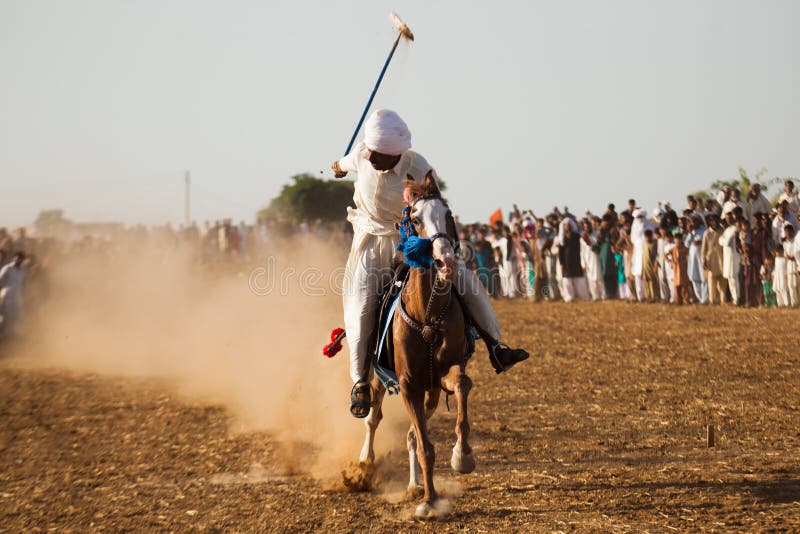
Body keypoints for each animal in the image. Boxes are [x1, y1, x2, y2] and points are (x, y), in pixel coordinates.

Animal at [358, 172, 476, 520]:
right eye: (415, 218)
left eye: (448, 214)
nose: (445, 260)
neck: (427, 314)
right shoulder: (409, 384)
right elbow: (425, 446)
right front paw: (429, 501)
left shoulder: (441, 376)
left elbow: (462, 385)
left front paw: (462, 456)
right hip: (379, 379)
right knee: (373, 418)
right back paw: (365, 461)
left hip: (431, 393)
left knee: (411, 433)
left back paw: (414, 485)